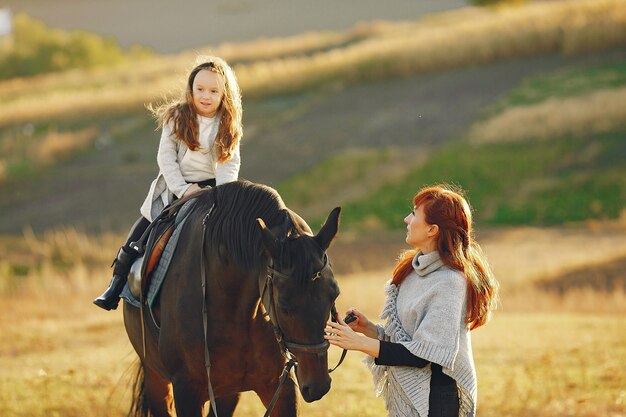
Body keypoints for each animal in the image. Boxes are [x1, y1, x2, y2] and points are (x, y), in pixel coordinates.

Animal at [122, 180, 342, 416]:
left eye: (334, 295)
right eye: (283, 305)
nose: (318, 385)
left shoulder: (279, 385)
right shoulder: (186, 389)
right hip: (156, 379)